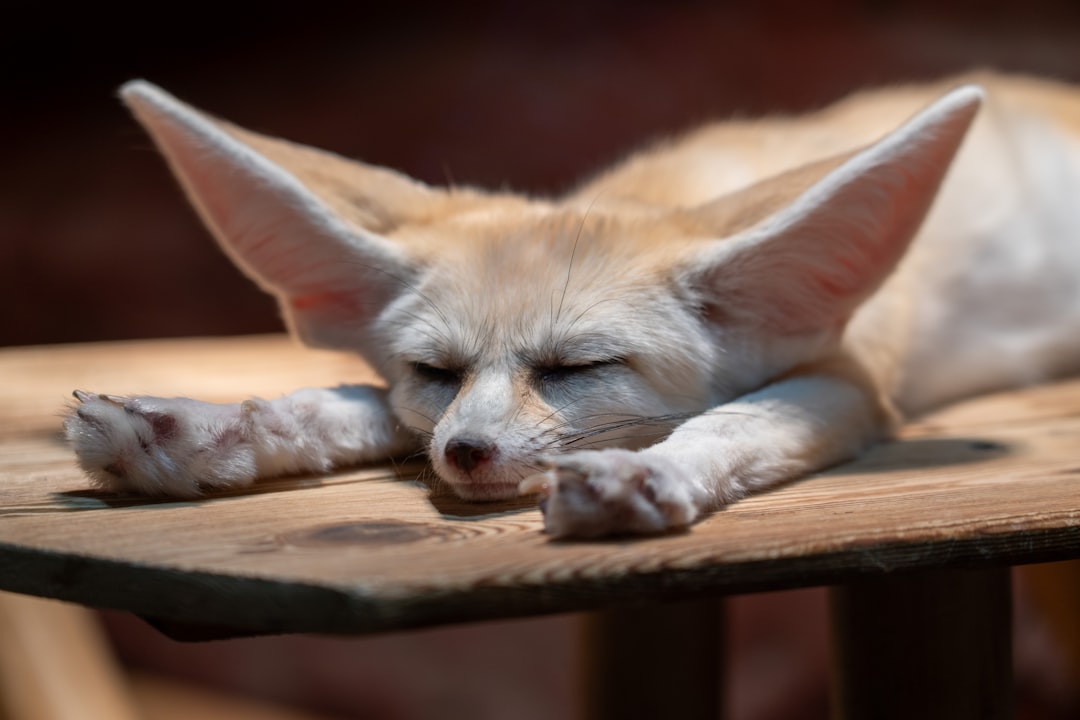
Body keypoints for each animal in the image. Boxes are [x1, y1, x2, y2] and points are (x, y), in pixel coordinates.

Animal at [64, 73, 1080, 538]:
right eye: (434, 371)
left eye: (579, 368)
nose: (468, 454)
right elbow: (355, 403)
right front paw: (200, 429)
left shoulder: (854, 378)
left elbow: (733, 422)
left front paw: (647, 475)